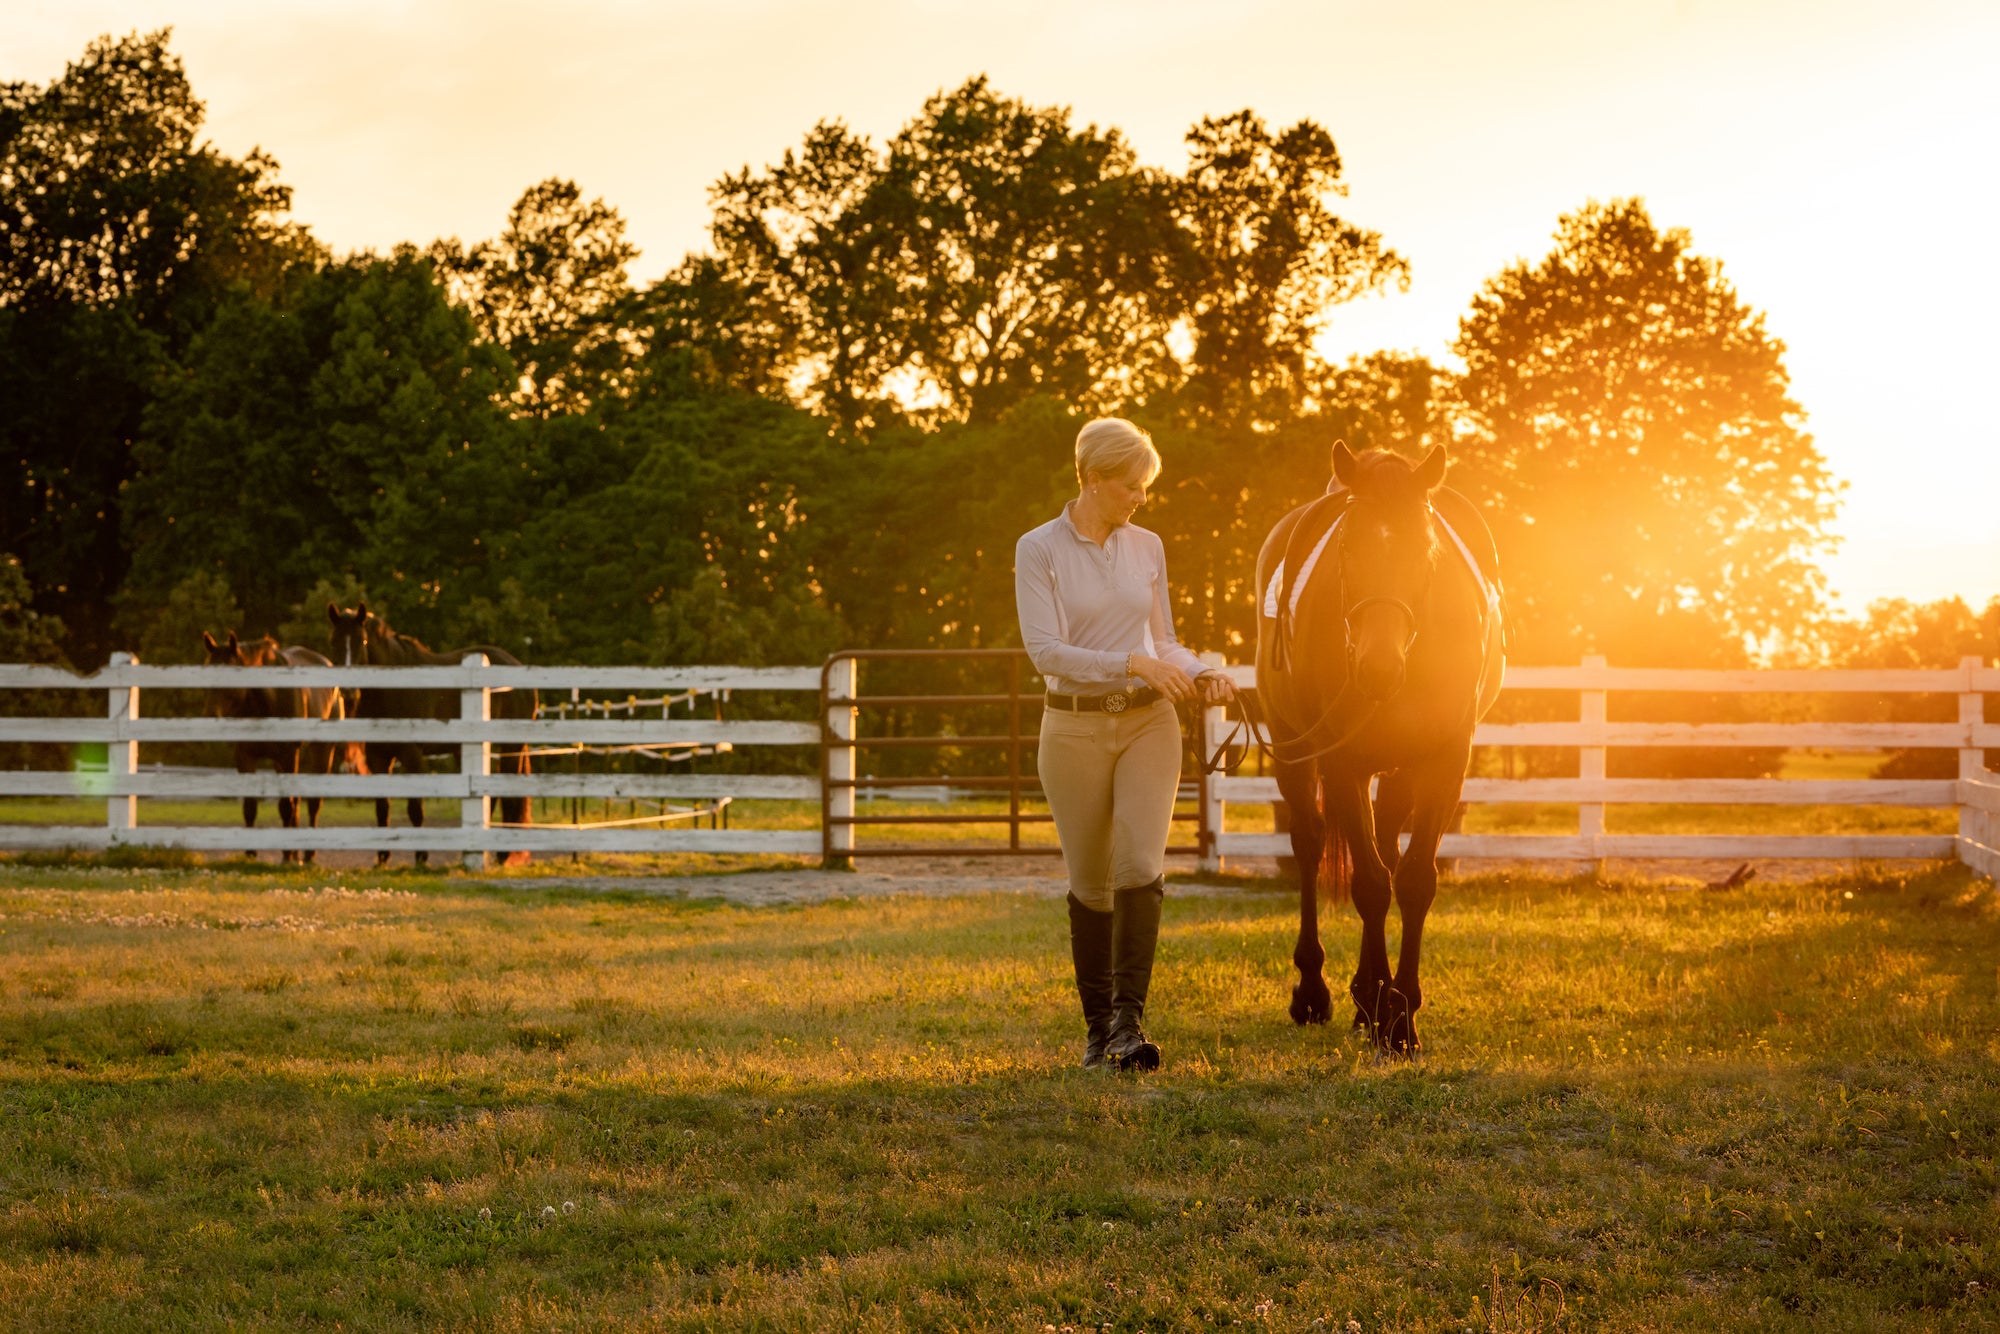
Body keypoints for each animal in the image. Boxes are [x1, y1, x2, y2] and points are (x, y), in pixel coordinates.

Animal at [200, 628, 356, 868]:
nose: (209, 718)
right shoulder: (245, 756)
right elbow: (250, 806)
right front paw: (250, 854)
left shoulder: (288, 754)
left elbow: (285, 805)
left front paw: (286, 856)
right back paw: (296, 853)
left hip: (321, 751)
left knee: (312, 802)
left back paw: (307, 855)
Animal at [326, 604, 532, 868]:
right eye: (333, 641)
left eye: (361, 641)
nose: (349, 692)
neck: (392, 689)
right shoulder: (377, 755)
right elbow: (382, 806)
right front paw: (382, 858)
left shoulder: (412, 754)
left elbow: (415, 808)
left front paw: (421, 857)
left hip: (509, 746)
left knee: (510, 795)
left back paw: (504, 854)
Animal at [1248, 446, 1504, 1056]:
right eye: (1347, 549)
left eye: (1425, 551)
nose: (1378, 666)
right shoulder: (1340, 763)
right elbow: (1368, 885)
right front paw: (1384, 1012)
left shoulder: (1443, 762)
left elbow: (1411, 882)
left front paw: (1400, 1014)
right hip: (1297, 755)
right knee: (1311, 845)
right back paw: (1317, 991)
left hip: (1395, 771)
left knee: (1384, 845)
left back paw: (1370, 996)